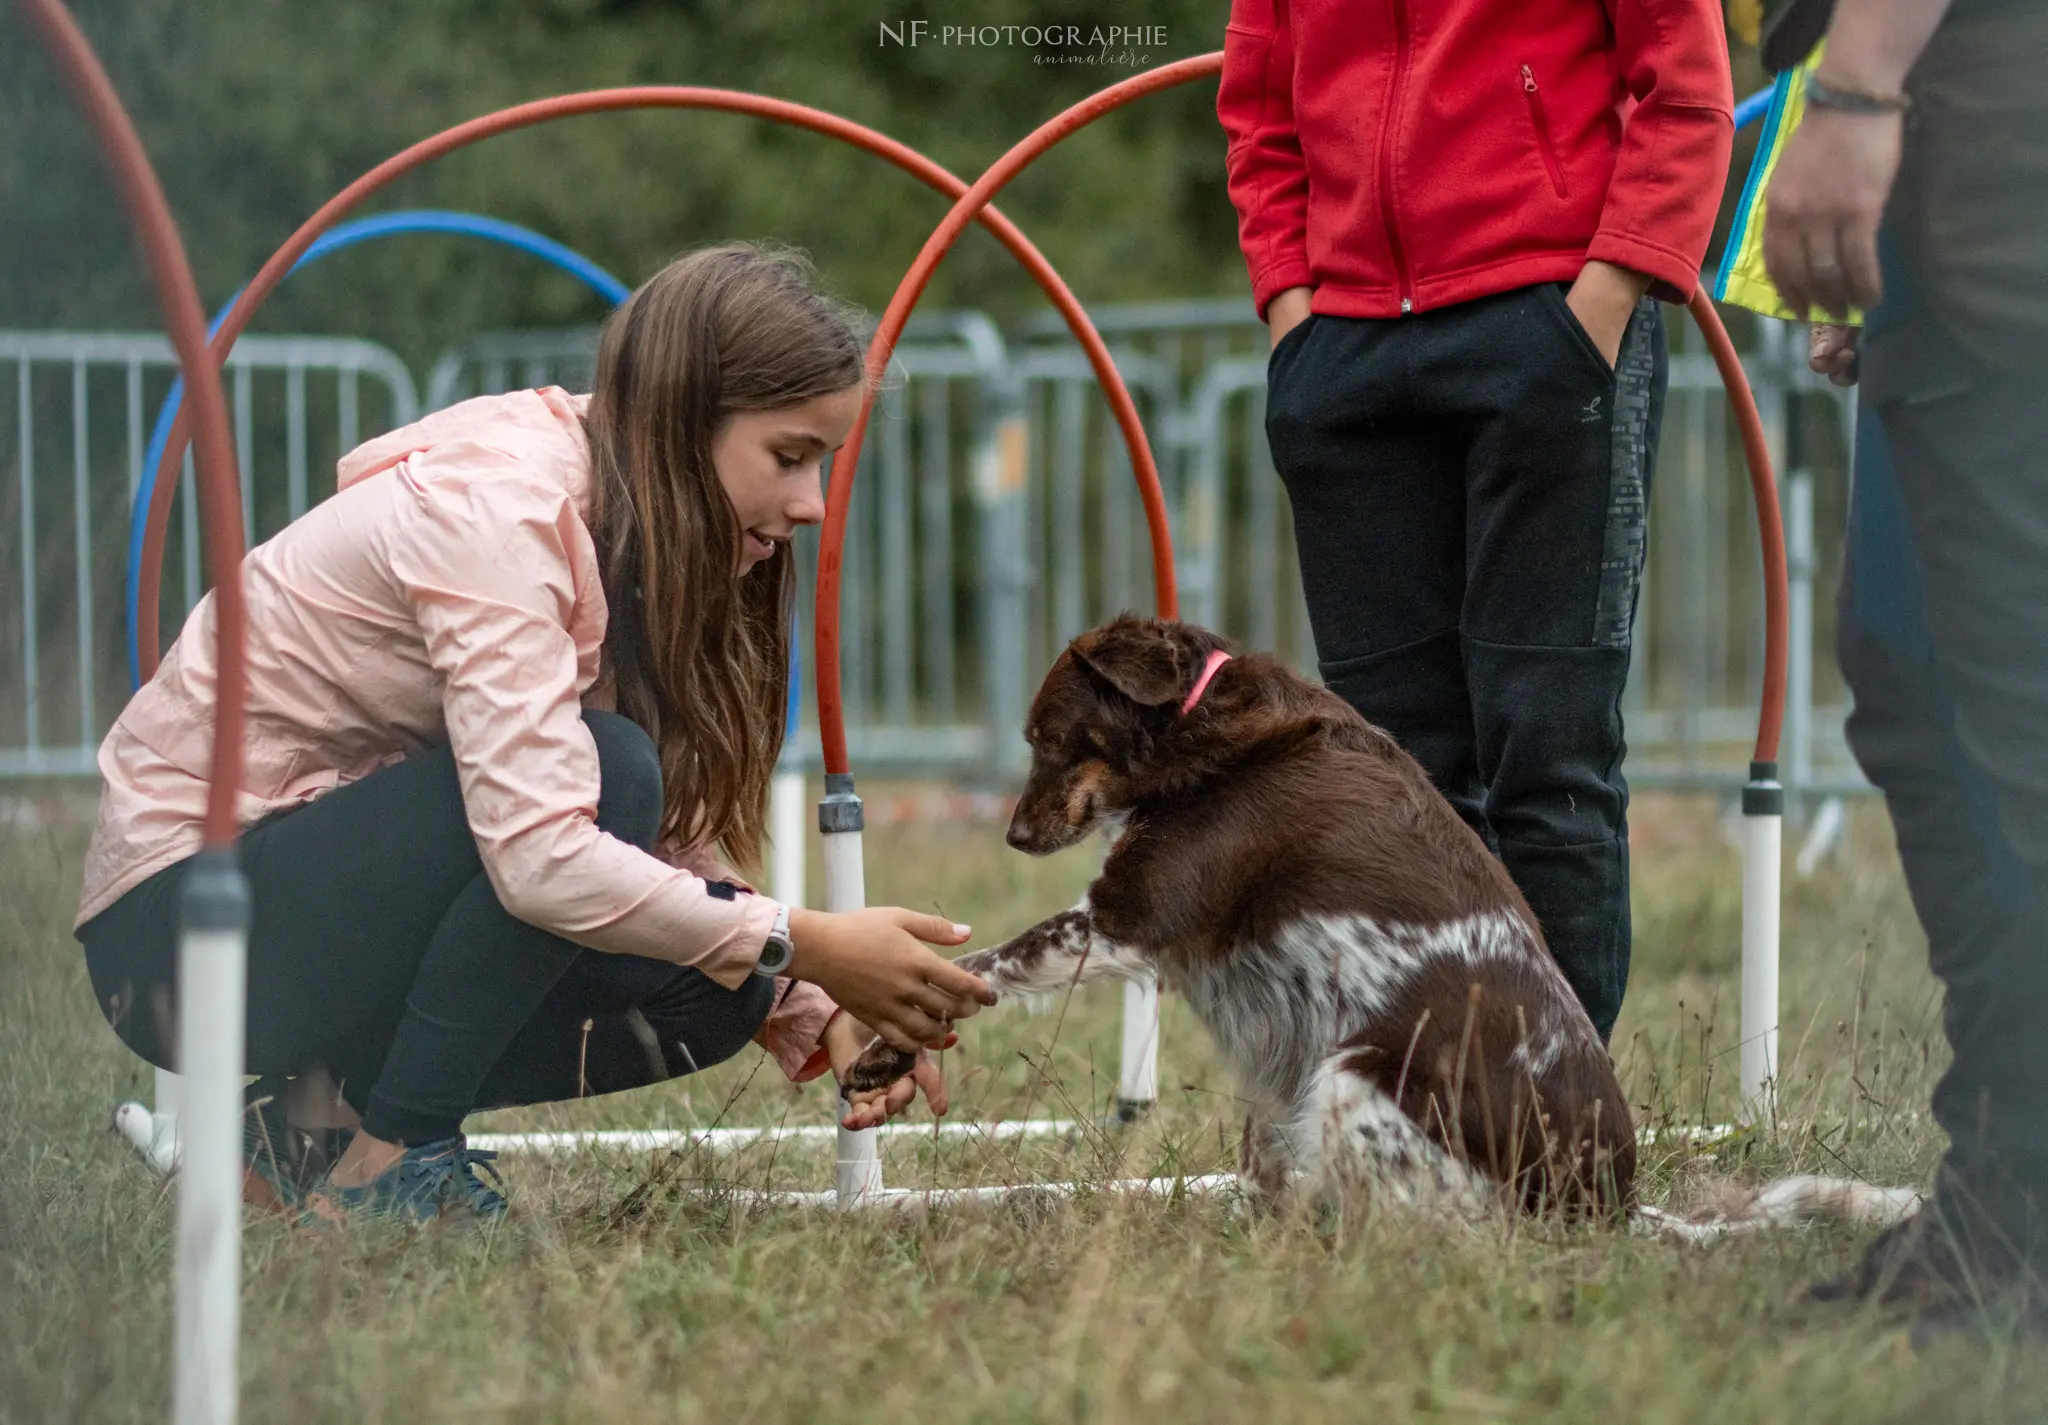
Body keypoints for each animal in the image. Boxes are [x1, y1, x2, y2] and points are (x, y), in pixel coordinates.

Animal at [847, 622, 1916, 1236]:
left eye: (1045, 736)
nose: (1014, 834)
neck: (1199, 731)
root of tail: (1612, 1209)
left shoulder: (1130, 915)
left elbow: (986, 968)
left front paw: (890, 1037)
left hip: (1355, 1077)